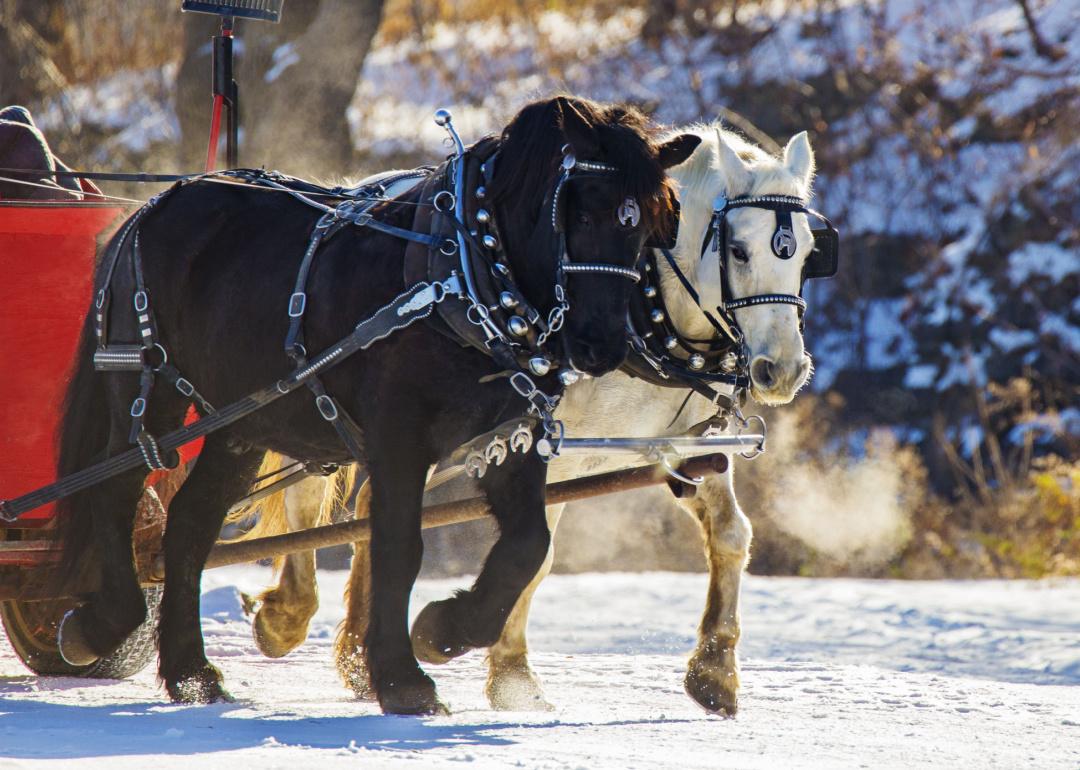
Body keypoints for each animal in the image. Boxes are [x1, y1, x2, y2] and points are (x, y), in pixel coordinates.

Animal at [54, 96, 699, 712]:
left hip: (242, 423)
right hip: (148, 386)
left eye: (651, 228)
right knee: (115, 489)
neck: (460, 274)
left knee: (190, 524)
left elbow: (528, 545)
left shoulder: (508, 438)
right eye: (580, 212)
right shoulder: (397, 441)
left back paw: (190, 673)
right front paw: (401, 678)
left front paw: (444, 630)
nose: (601, 345)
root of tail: (151, 207)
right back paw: (100, 625)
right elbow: (398, 547)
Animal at [240, 124, 816, 712]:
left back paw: (360, 656)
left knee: (371, 511)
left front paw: (715, 669)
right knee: (308, 494)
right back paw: (287, 617)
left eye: (808, 253)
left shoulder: (688, 447)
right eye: (739, 250)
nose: (783, 370)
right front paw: (508, 670)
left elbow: (731, 534)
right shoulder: (544, 448)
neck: (643, 303)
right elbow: (536, 555)